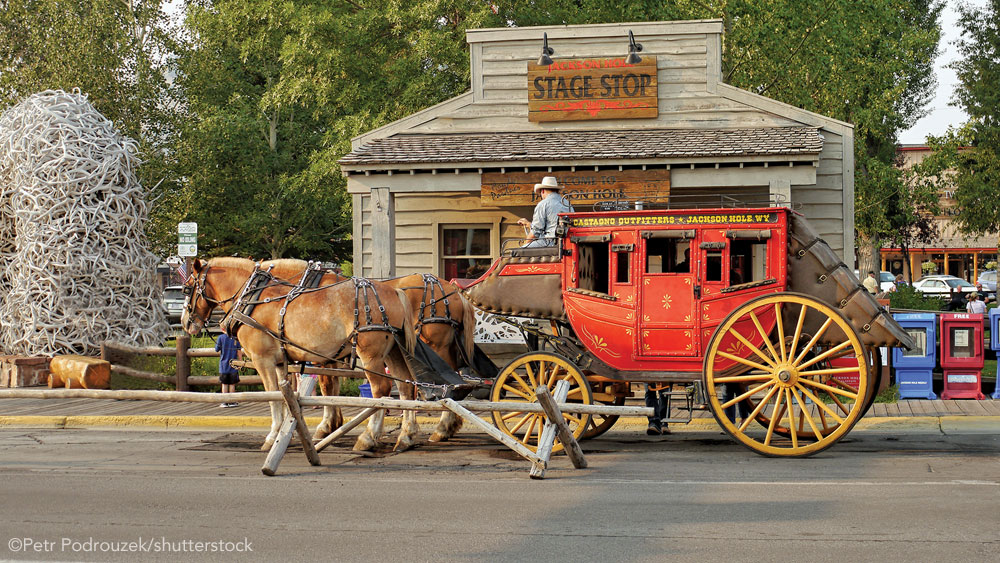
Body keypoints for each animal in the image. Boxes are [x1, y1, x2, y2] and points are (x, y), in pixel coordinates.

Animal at [180, 258, 422, 452]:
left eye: (186, 288)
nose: (185, 323)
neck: (252, 297)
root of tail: (394, 291)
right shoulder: (280, 362)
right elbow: (286, 396)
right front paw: (287, 431)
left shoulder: (263, 360)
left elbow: (273, 396)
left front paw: (272, 436)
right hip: (393, 351)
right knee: (406, 386)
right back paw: (406, 436)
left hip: (371, 355)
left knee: (380, 390)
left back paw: (368, 437)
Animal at [258, 264, 476, 446]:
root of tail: (453, 290)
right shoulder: (331, 354)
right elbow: (333, 386)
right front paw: (333, 423)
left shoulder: (323, 353)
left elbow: (327, 385)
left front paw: (326, 426)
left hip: (435, 345)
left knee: (446, 384)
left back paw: (442, 427)